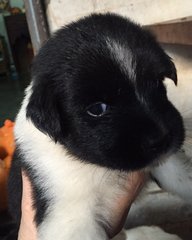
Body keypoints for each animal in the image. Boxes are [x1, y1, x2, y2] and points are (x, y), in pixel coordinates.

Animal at [7, 13, 188, 240]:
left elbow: (180, 173)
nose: (162, 138)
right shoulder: (70, 219)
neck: (98, 167)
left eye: (157, 83)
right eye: (97, 109)